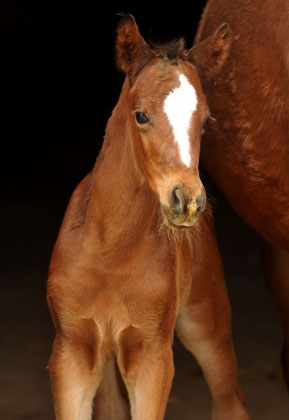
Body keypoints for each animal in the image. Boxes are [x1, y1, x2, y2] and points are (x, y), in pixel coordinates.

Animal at [46, 14, 248, 420]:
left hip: (206, 321)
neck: (109, 254)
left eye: (206, 121)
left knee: (228, 399)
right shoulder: (71, 350)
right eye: (140, 114)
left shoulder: (152, 354)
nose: (187, 200)